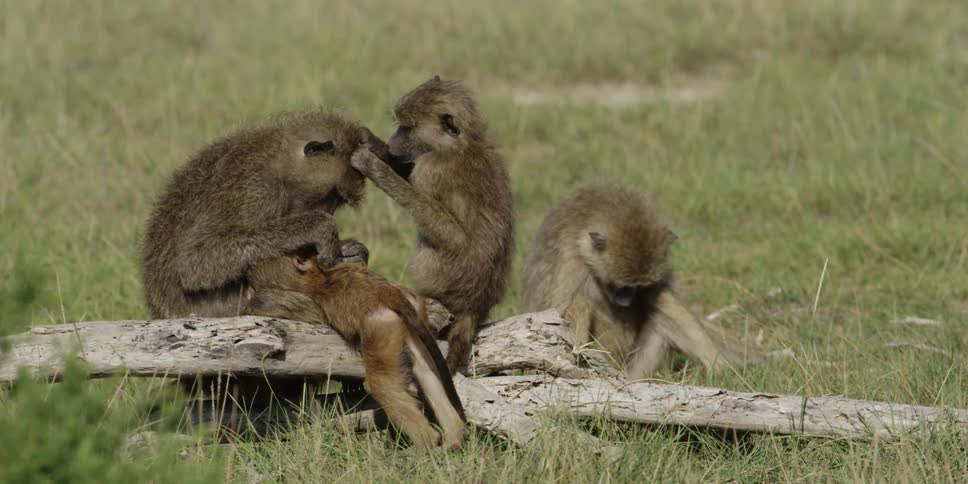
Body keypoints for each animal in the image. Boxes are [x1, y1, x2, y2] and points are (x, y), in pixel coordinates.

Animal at [243, 253, 466, 450]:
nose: (249, 271)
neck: (321, 278)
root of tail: (390, 295)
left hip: (379, 326)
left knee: (381, 384)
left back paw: (425, 445)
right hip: (412, 317)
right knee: (425, 370)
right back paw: (453, 440)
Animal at [351, 76, 514, 374]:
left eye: (408, 127)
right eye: (400, 125)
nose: (391, 143)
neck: (460, 145)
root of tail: (473, 306)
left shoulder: (430, 170)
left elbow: (451, 235)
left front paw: (373, 165)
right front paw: (375, 146)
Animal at [519, 183, 762, 379]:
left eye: (637, 287)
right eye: (619, 286)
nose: (626, 301)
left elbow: (661, 295)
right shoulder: (569, 259)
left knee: (661, 302)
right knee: (581, 303)